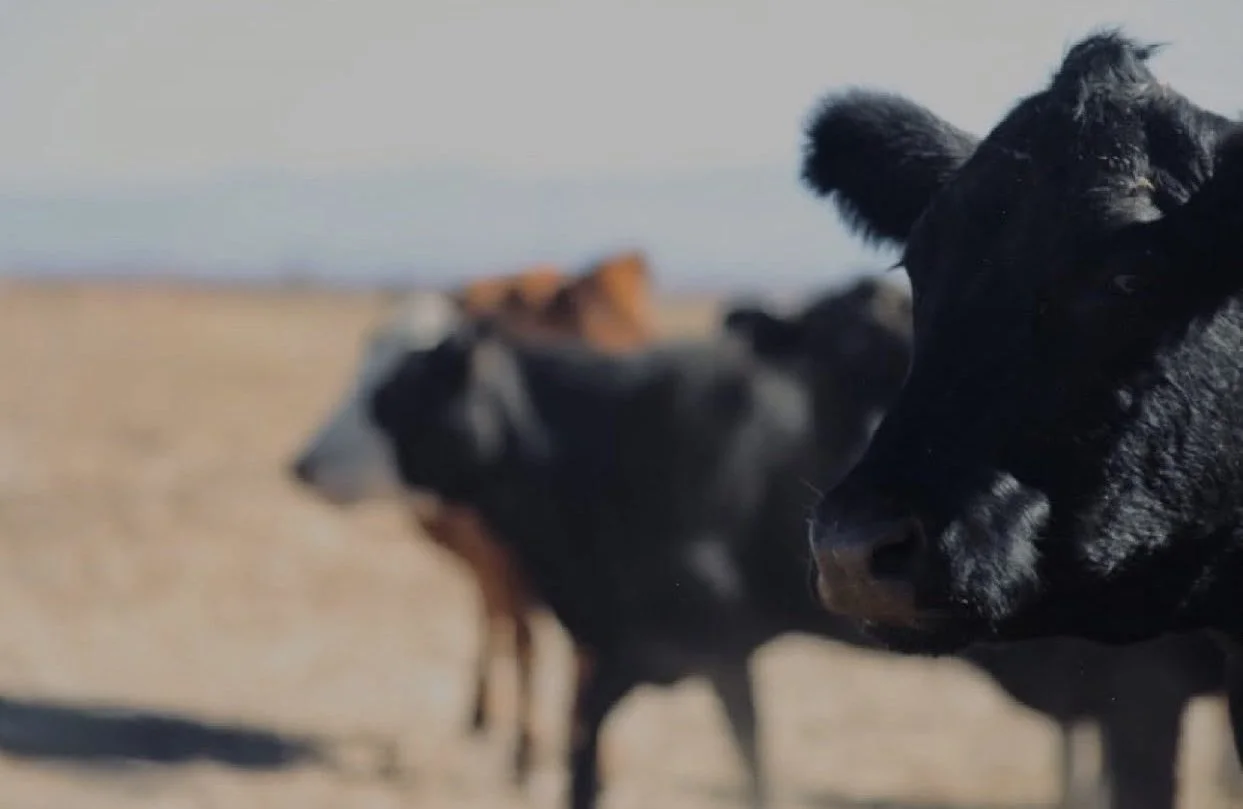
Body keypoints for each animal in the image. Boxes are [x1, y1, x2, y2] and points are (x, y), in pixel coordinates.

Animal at [289, 251, 656, 784]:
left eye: (407, 385)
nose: (304, 464)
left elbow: (589, 664)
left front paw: (594, 755)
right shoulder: (506, 560)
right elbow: (524, 643)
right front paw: (527, 753)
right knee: (492, 618)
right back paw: (483, 714)